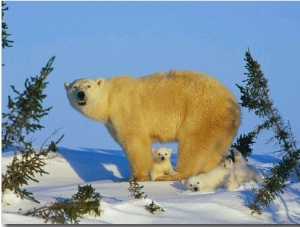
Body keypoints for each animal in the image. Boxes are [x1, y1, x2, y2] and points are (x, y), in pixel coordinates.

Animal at [64, 70, 240, 181]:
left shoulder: (127, 109)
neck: (110, 98)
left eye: (88, 86)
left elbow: (135, 141)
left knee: (193, 144)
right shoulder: (111, 123)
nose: (81, 94)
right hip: (223, 125)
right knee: (215, 149)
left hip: (202, 113)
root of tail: (234, 104)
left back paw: (174, 175)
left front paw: (137, 177)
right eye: (74, 87)